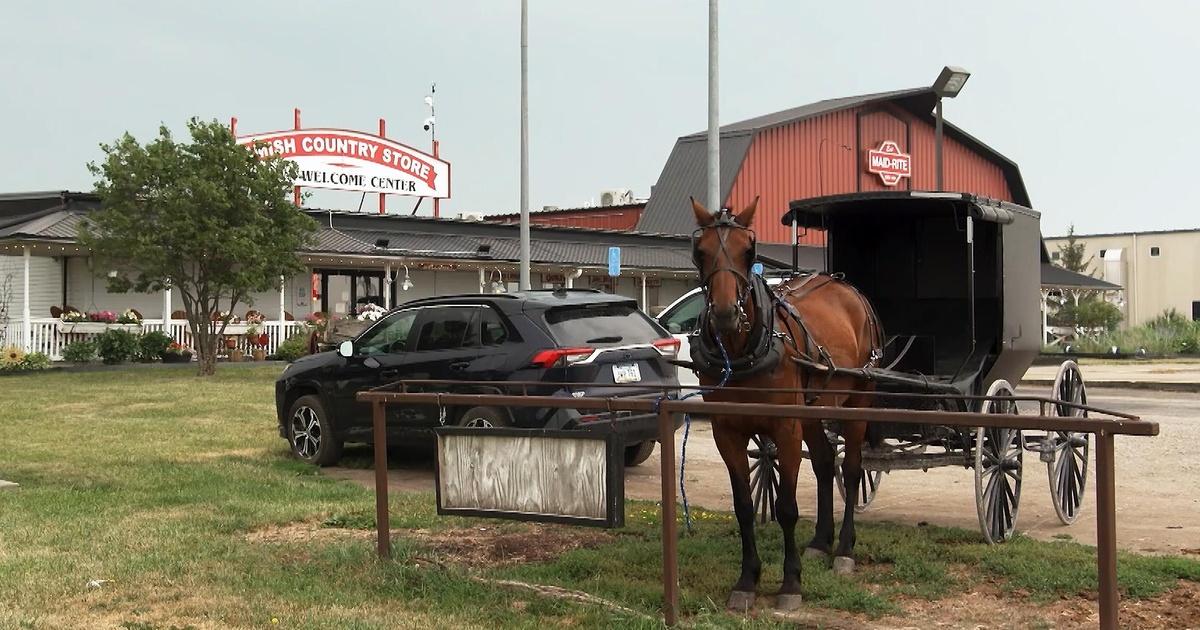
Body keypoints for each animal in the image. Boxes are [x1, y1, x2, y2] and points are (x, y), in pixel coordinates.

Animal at [686, 196, 883, 609]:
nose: (726, 314)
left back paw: (844, 549)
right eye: (700, 251)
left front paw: (791, 582)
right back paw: (821, 543)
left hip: (857, 401)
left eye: (749, 251)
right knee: (825, 463)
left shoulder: (785, 427)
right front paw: (747, 579)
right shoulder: (726, 431)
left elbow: (787, 508)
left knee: (851, 469)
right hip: (812, 409)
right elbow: (744, 507)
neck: (742, 351)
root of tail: (846, 287)